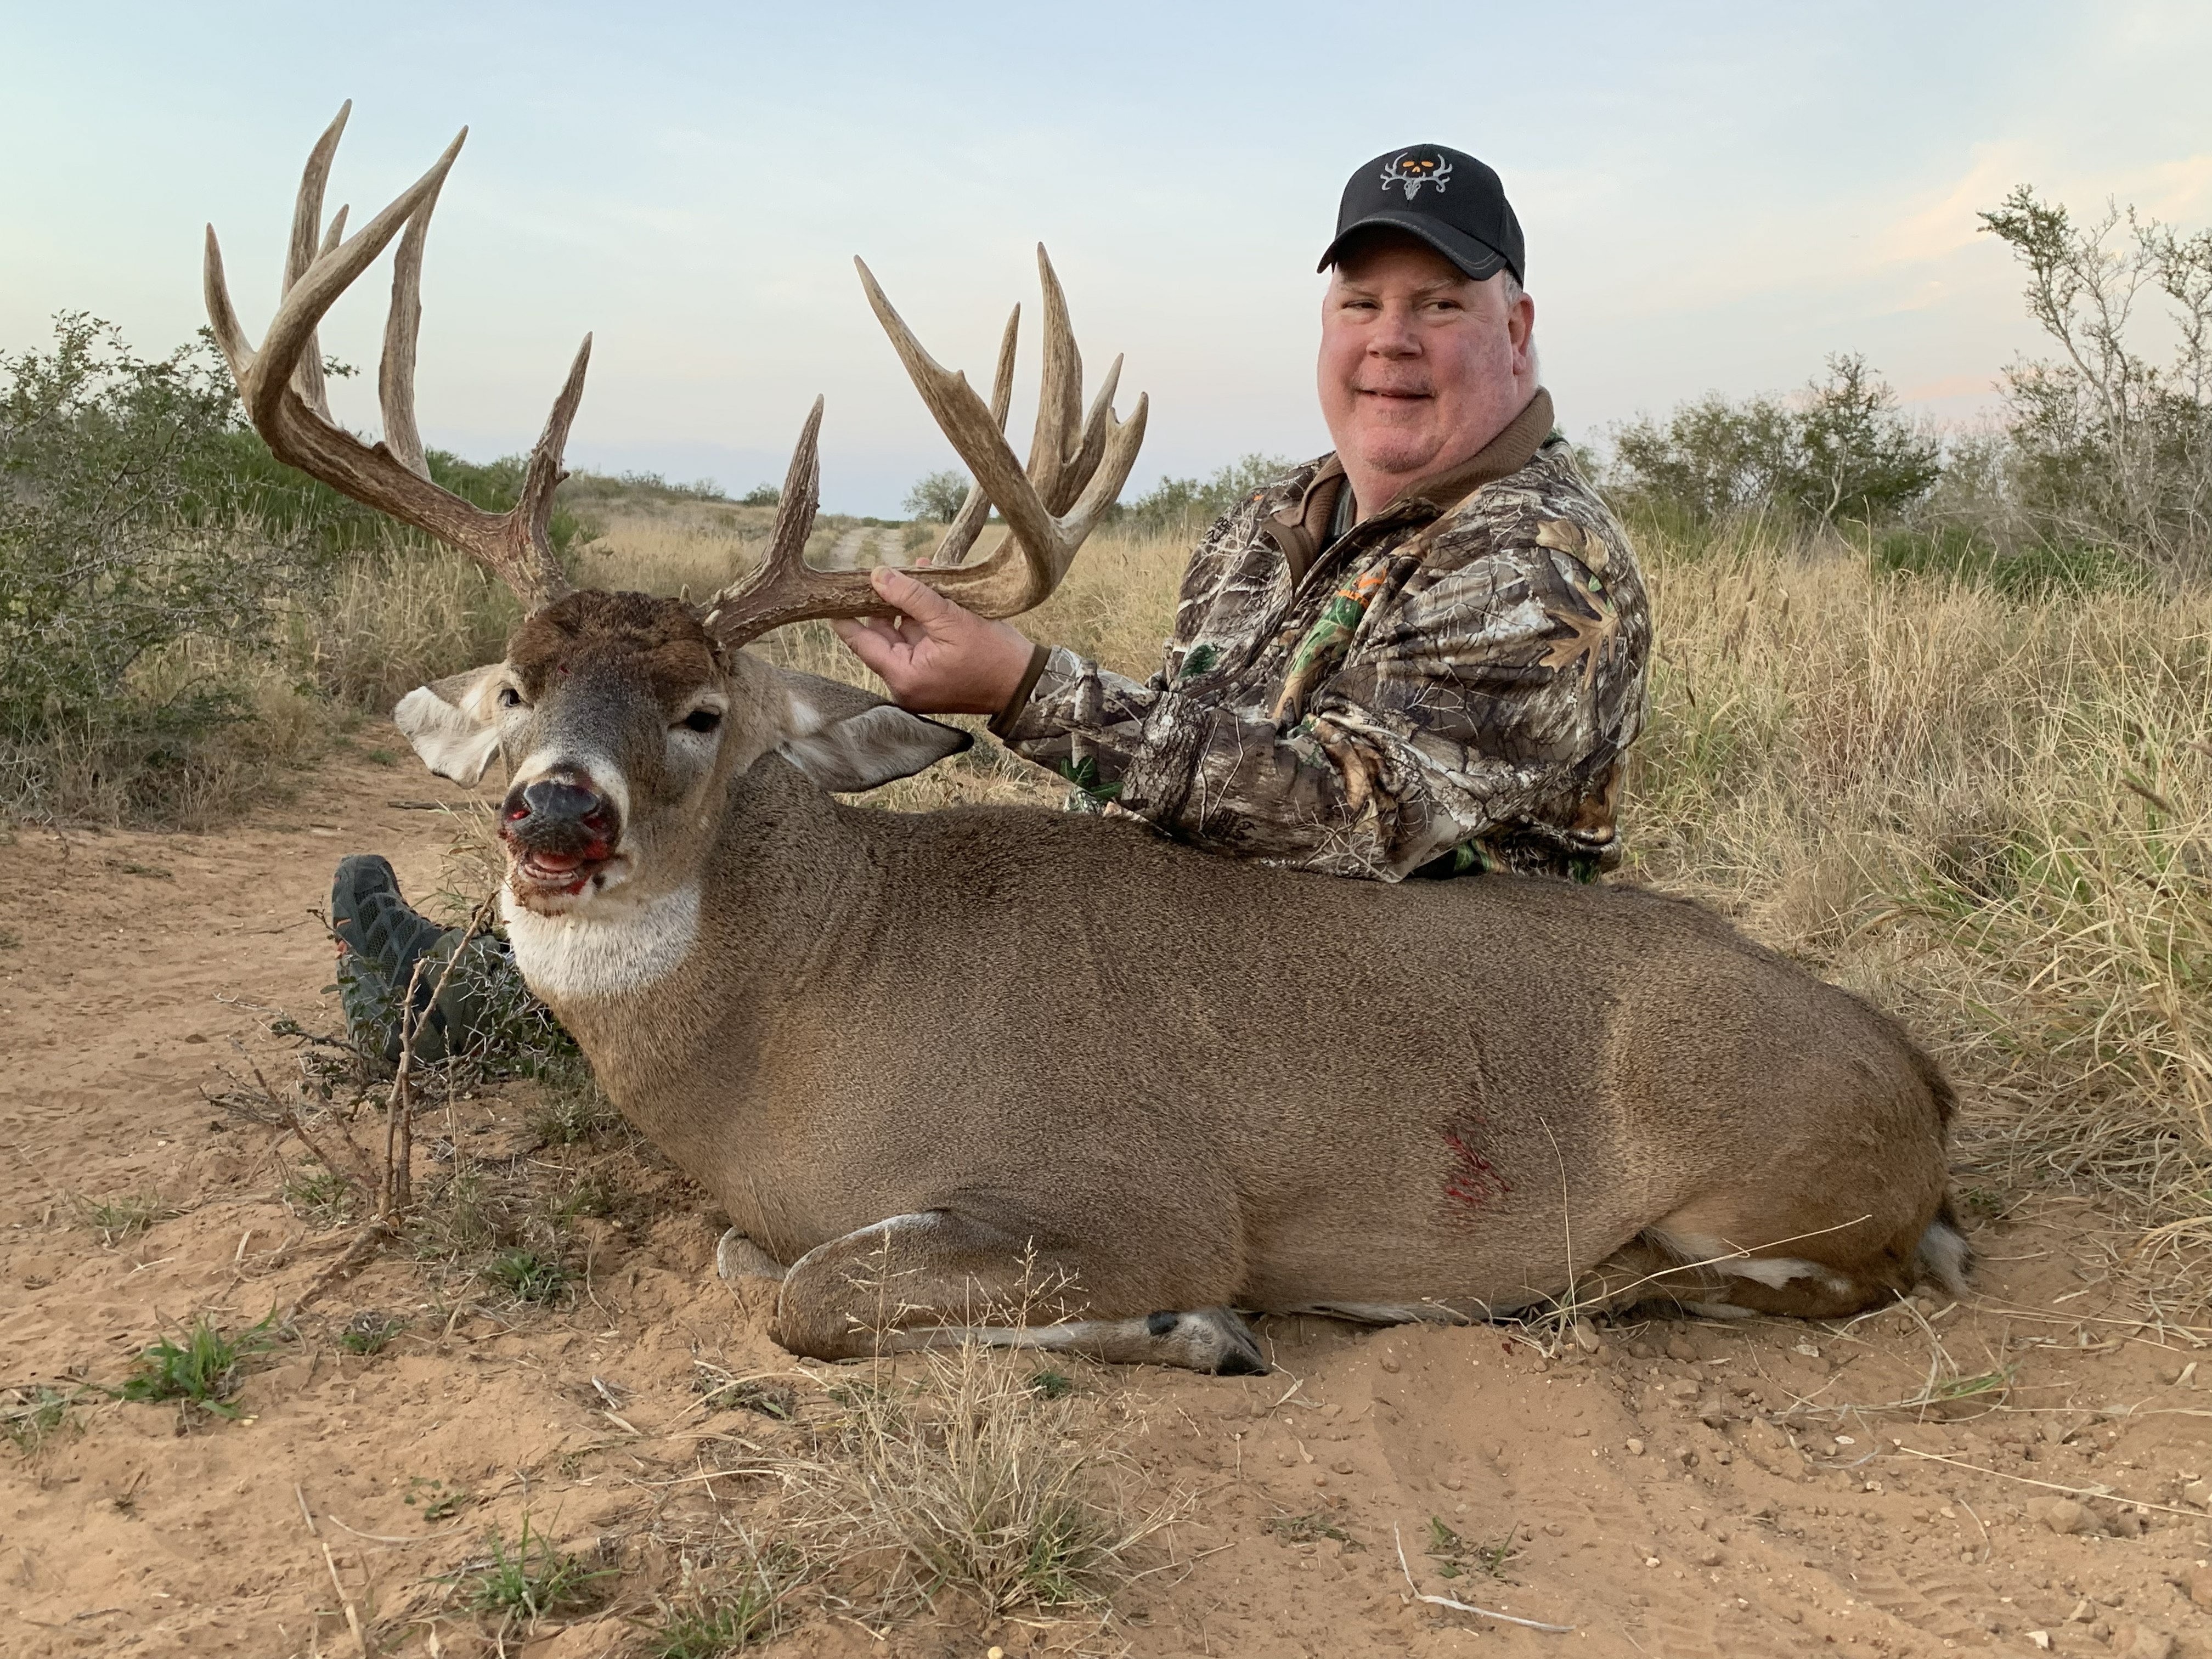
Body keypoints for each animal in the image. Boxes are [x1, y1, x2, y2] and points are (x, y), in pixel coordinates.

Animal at [203, 106, 1968, 1375]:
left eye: (706, 712)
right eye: (516, 691)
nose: (558, 818)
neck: (797, 1029)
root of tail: (1920, 1072)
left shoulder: (1138, 1192)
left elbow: (810, 1294)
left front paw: (1195, 1329)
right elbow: (757, 1262)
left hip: (1762, 1171)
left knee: (1853, 1272)